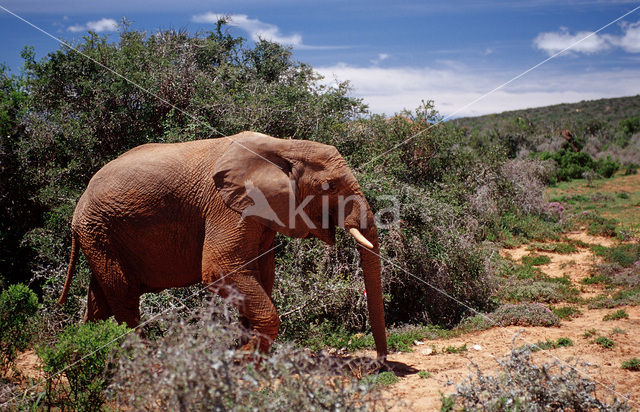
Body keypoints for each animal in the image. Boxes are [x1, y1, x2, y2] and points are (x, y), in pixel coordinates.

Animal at [58, 130, 390, 358]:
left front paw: (248, 356)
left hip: (99, 234)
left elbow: (260, 274)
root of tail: (78, 205)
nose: (381, 362)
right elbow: (221, 269)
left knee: (100, 299)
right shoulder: (225, 206)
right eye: (329, 187)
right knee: (124, 296)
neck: (284, 146)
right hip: (100, 228)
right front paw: (243, 360)